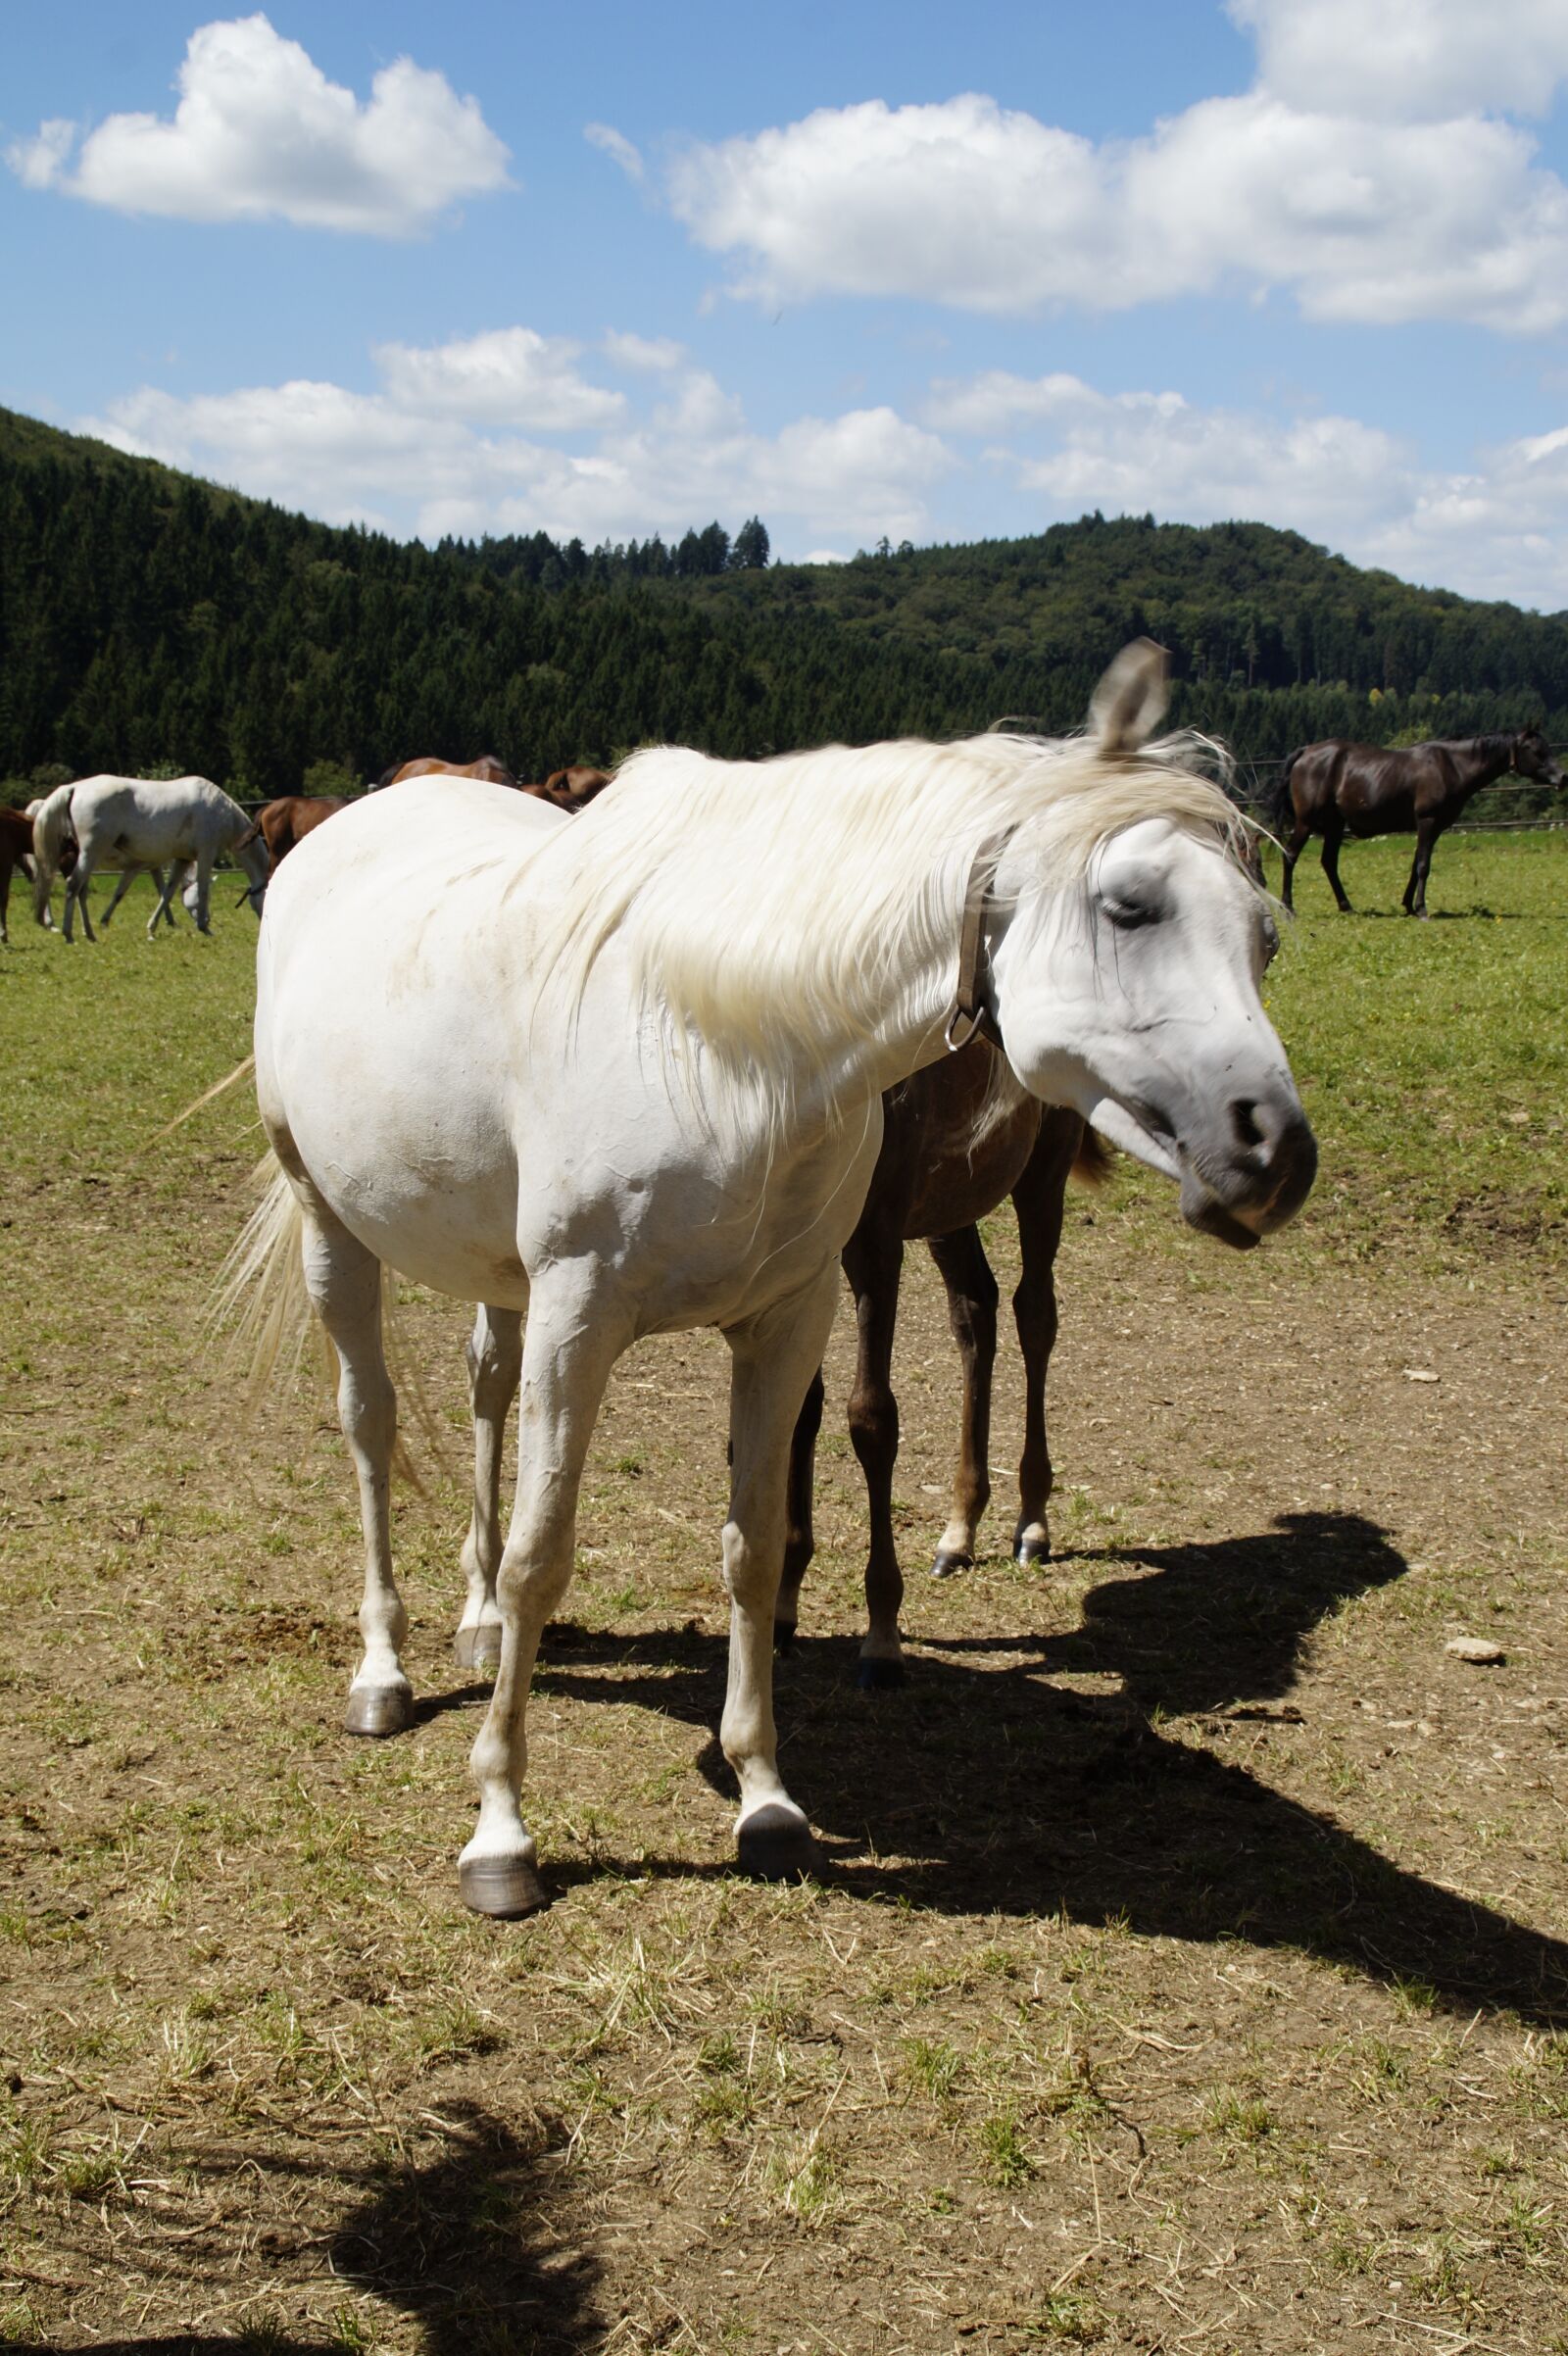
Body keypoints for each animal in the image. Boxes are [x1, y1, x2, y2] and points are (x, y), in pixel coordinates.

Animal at [31, 777, 270, 941]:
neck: (220, 811)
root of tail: (75, 788)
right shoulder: (206, 854)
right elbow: (201, 889)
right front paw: (205, 928)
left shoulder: (182, 859)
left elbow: (167, 893)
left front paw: (152, 928)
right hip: (90, 852)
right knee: (73, 885)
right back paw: (68, 933)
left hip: (88, 856)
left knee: (80, 890)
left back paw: (89, 933)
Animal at [229, 641, 1315, 1917]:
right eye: (1128, 905)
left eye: (1265, 938)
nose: (1275, 1154)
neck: (718, 1037)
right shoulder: (581, 1318)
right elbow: (549, 1551)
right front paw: (500, 1830)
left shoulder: (785, 1317)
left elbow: (752, 1542)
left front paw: (765, 1797)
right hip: (329, 1224)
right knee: (370, 1425)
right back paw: (385, 1671)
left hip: (499, 1271)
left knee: (485, 1393)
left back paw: (479, 1623)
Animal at [1275, 728, 1566, 916]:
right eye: (1536, 751)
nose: (1563, 777)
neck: (1451, 766)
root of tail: (1305, 753)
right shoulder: (1427, 821)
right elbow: (1424, 865)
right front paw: (1422, 908)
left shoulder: (1433, 828)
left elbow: (1416, 864)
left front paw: (1409, 905)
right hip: (1306, 822)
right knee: (1290, 855)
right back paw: (1288, 906)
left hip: (1334, 825)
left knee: (1329, 862)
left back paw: (1346, 906)